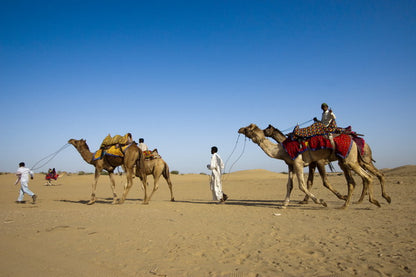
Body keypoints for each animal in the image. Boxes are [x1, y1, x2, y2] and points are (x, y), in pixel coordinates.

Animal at [237, 123, 380, 207]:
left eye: (248, 128)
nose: (239, 129)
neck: (281, 149)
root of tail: (354, 140)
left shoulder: (299, 163)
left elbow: (302, 185)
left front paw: (320, 201)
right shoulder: (290, 165)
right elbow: (289, 185)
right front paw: (284, 204)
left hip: (350, 160)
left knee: (366, 177)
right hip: (348, 161)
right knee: (364, 178)